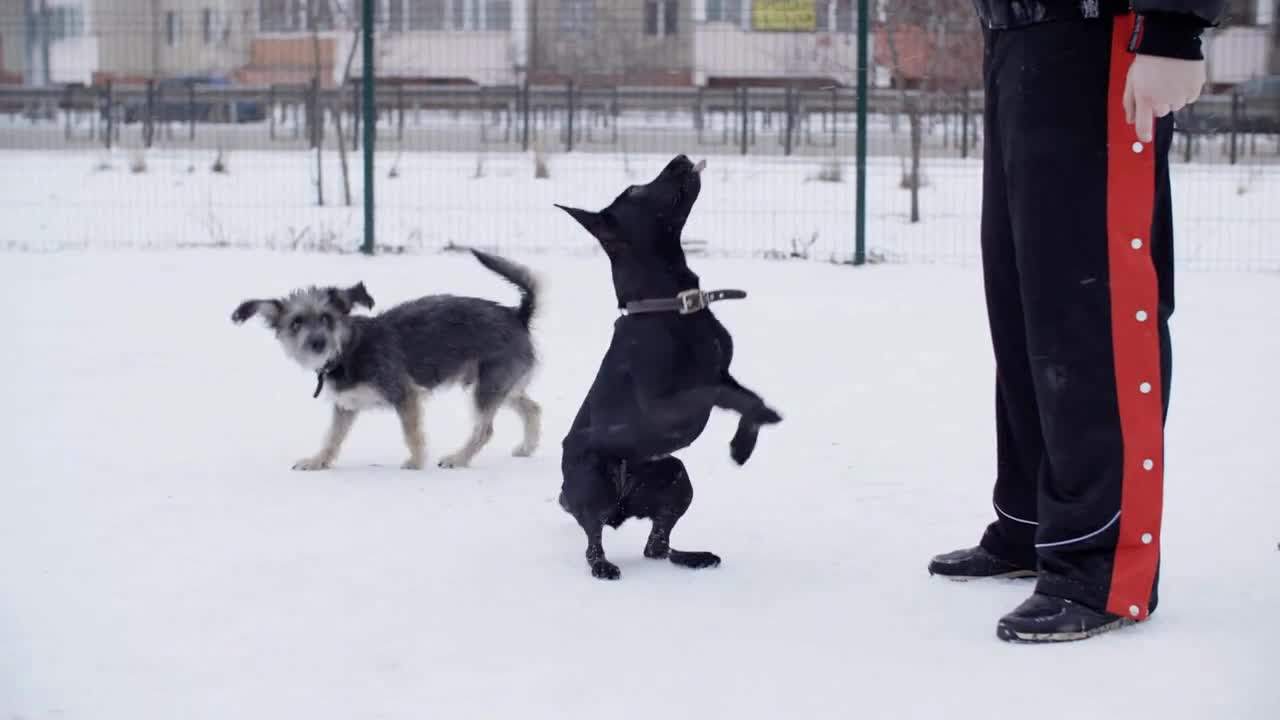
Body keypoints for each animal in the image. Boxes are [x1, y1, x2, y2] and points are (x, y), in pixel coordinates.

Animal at [232, 248, 542, 471]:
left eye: (327, 318)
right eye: (296, 322)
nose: (317, 343)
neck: (349, 350)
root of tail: (517, 314)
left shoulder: (404, 394)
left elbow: (411, 433)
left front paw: (416, 462)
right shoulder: (345, 406)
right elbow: (332, 437)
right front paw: (318, 461)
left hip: (487, 387)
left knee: (485, 430)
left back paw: (458, 458)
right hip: (501, 387)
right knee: (532, 407)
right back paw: (527, 447)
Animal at [558, 152, 783, 576]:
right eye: (634, 191)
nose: (680, 158)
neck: (670, 305)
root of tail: (621, 510)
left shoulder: (723, 371)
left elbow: (749, 397)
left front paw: (743, 445)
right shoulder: (664, 404)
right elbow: (715, 393)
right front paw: (754, 429)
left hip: (678, 477)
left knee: (657, 546)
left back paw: (694, 557)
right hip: (596, 479)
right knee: (593, 534)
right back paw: (602, 566)